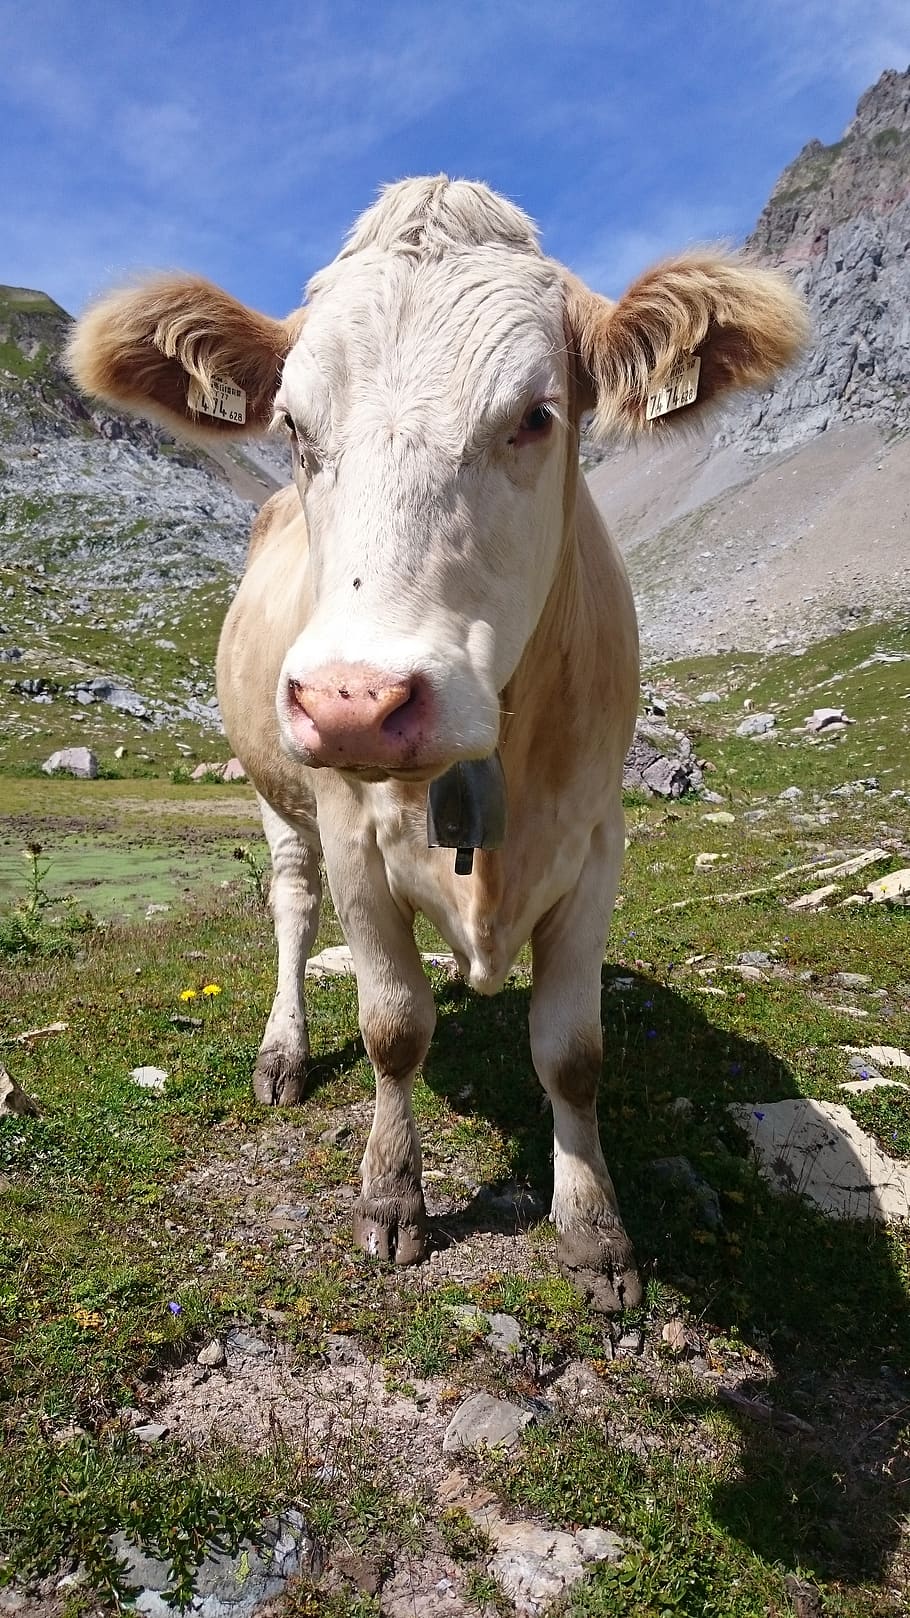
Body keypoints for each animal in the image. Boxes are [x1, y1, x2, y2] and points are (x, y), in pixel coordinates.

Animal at [69, 177, 806, 1310]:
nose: (354, 701)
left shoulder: (598, 842)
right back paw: (283, 1052)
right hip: (276, 795)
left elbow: (573, 1052)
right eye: (293, 423)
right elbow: (393, 1025)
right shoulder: (351, 839)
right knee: (290, 907)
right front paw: (390, 1197)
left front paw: (595, 1229)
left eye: (537, 415)